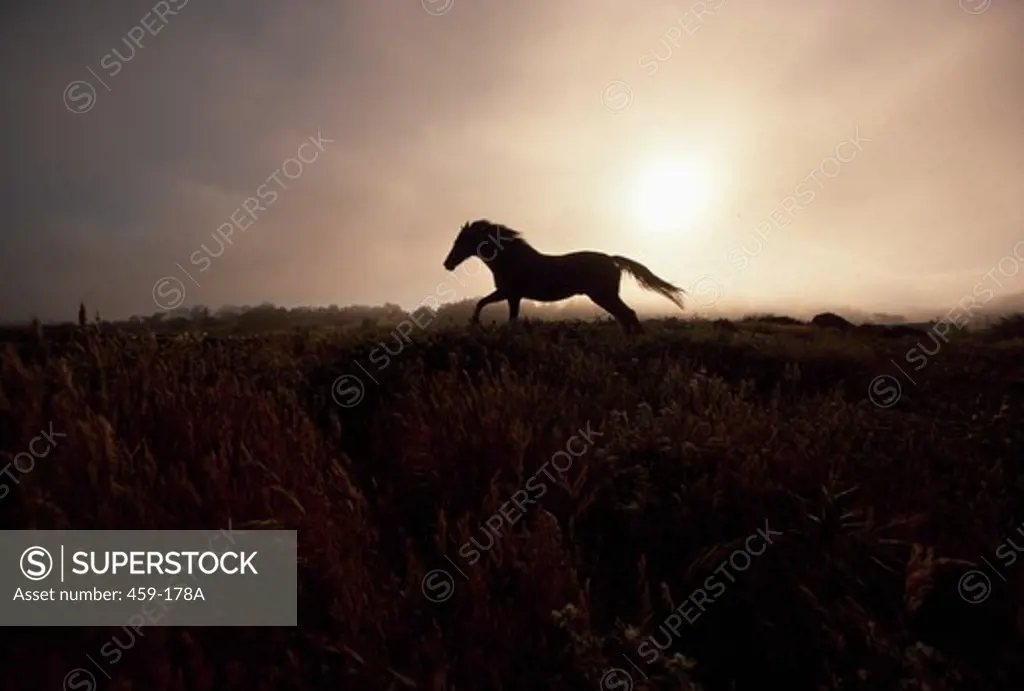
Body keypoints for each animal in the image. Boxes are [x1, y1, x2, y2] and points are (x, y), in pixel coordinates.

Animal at [442, 219, 688, 331]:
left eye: (462, 241)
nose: (447, 264)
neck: (511, 260)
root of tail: (612, 259)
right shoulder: (511, 295)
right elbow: (493, 308)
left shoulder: (509, 293)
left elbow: (486, 305)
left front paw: (474, 324)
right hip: (605, 296)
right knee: (625, 315)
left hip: (603, 295)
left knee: (628, 313)